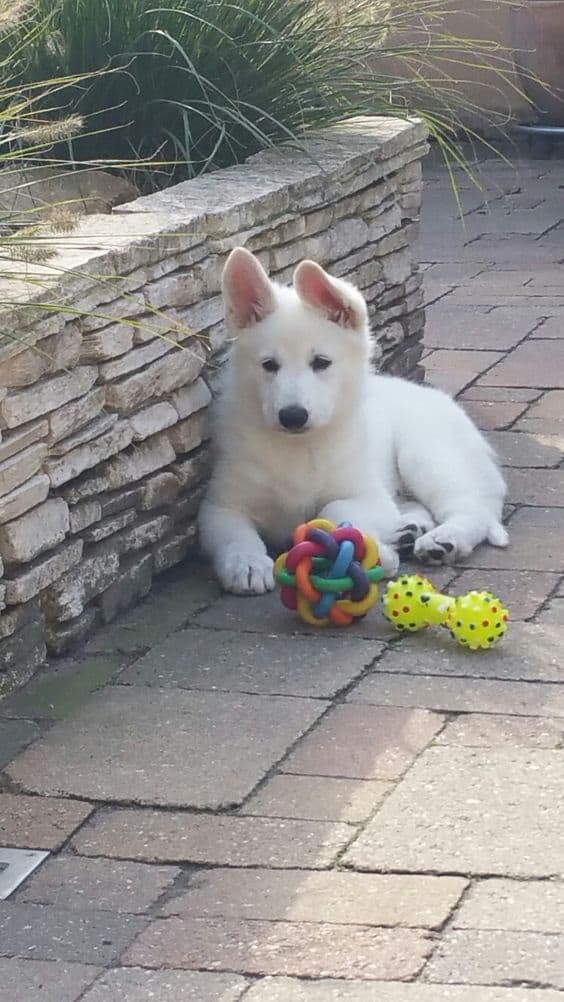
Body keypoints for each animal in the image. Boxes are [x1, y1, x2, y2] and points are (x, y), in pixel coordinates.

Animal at [198, 248, 506, 593]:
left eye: (321, 362)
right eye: (268, 365)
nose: (292, 416)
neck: (300, 447)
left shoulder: (369, 497)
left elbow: (330, 511)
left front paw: (375, 552)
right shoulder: (219, 507)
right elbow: (234, 535)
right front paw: (247, 564)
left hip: (425, 456)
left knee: (472, 507)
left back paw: (443, 540)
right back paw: (407, 530)